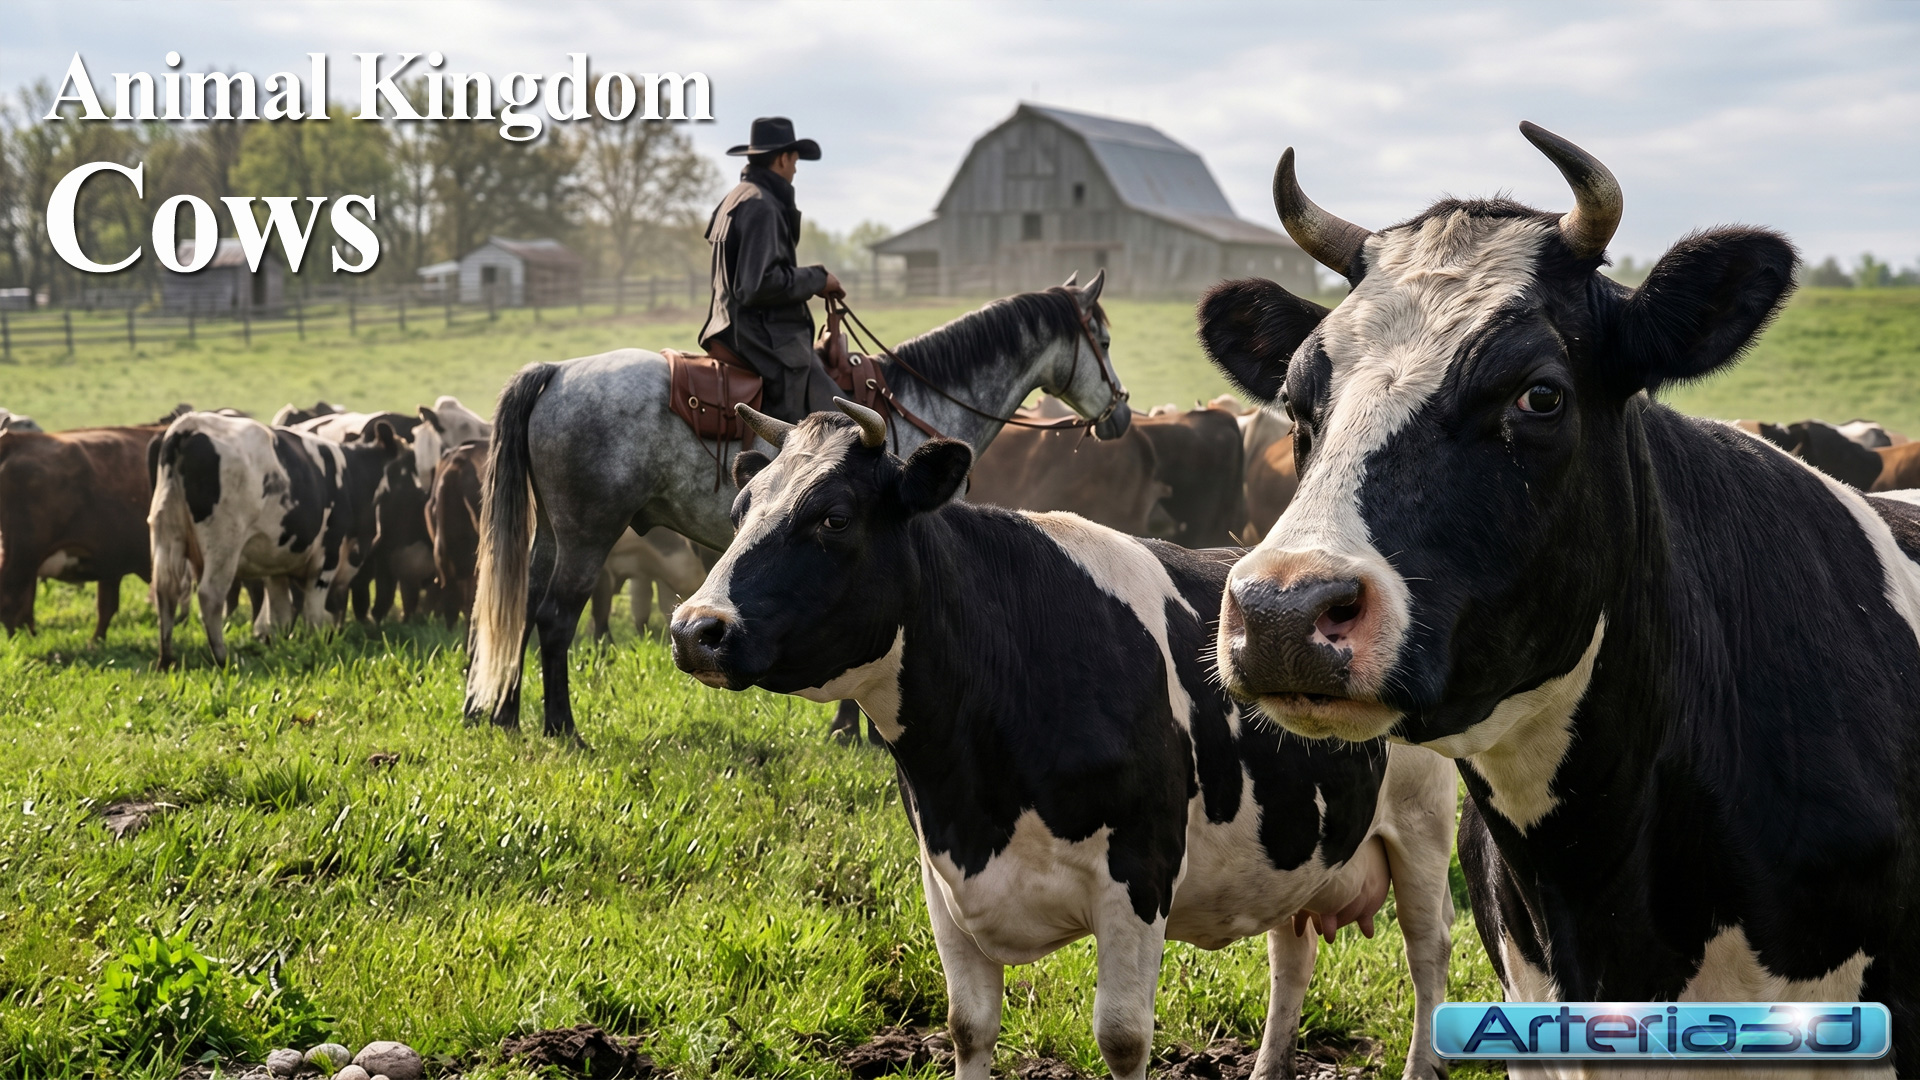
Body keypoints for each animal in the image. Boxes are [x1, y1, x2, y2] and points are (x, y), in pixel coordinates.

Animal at [0, 425, 165, 641]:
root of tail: (15, 440)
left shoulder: (111, 561)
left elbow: (107, 606)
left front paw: (97, 642)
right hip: (23, 556)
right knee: (11, 601)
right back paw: (19, 640)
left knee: (23, 602)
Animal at [148, 412, 410, 667]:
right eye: (388, 487)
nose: (377, 531)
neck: (349, 477)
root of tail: (189, 425)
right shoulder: (327, 554)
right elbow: (313, 613)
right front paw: (316, 646)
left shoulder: (276, 566)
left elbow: (281, 615)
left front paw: (281, 648)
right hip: (223, 544)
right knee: (210, 595)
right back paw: (222, 657)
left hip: (167, 532)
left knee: (165, 592)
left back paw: (166, 658)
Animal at [668, 401, 1458, 1080]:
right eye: (741, 510)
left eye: (833, 517)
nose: (694, 628)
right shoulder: (942, 878)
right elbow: (968, 1027)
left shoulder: (1139, 873)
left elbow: (1122, 1036)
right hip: (1300, 844)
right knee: (1291, 956)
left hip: (1422, 830)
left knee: (1430, 953)